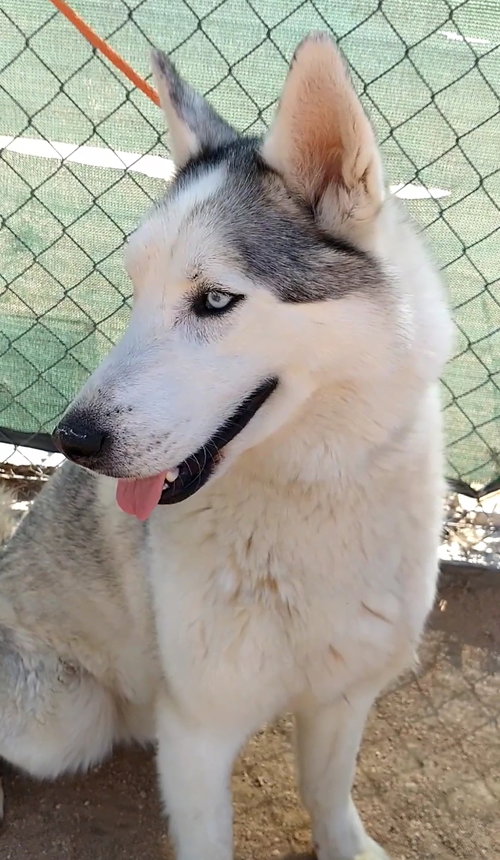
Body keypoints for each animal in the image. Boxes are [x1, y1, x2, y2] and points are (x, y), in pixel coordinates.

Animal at [0, 33, 452, 860]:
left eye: (214, 300)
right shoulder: (199, 734)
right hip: (66, 722)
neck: (314, 498)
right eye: (136, 289)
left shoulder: (344, 694)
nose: (71, 440)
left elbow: (330, 797)